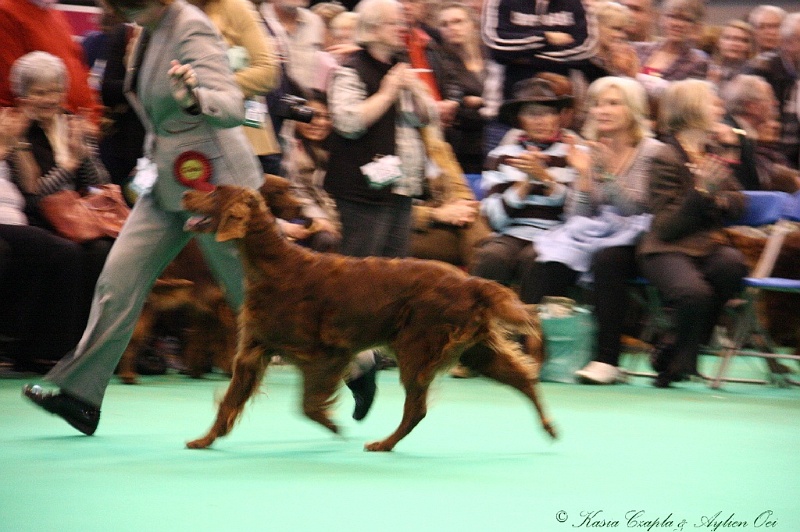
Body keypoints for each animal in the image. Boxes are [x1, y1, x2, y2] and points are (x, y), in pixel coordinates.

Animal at [181, 180, 556, 454]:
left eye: (214, 191)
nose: (184, 192)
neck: (276, 264)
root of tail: (470, 280)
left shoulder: (327, 354)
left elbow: (307, 405)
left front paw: (334, 425)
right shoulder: (252, 352)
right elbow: (229, 403)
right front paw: (204, 440)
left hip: (416, 348)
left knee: (417, 409)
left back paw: (383, 444)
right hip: (477, 351)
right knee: (525, 381)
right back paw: (550, 427)